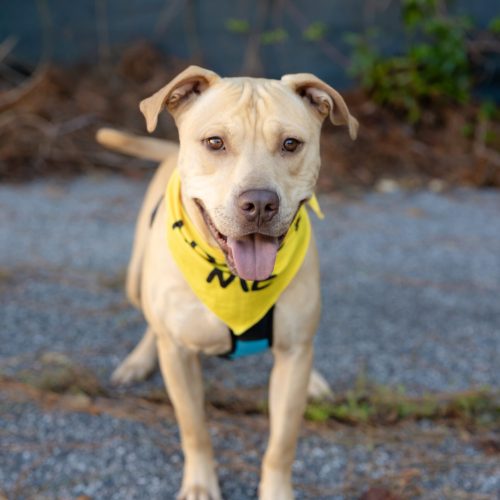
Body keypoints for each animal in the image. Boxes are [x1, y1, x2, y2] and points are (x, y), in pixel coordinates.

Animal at [96, 66, 356, 500]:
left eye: (290, 144)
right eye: (215, 142)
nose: (260, 204)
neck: (235, 285)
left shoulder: (292, 357)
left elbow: (282, 443)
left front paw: (276, 490)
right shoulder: (178, 357)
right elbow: (194, 428)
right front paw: (200, 484)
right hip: (136, 282)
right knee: (151, 323)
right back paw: (138, 359)